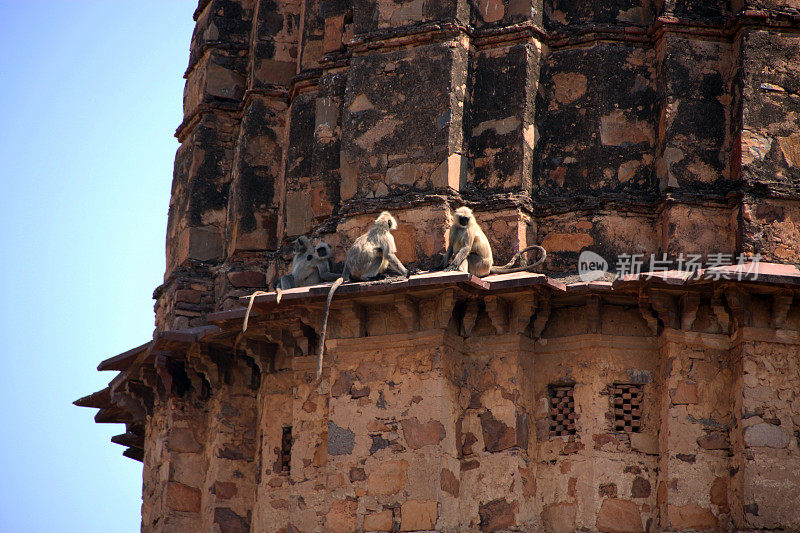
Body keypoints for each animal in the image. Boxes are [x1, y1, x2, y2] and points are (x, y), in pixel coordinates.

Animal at [318, 212, 410, 378]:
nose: (394, 224)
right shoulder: (386, 236)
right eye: (390, 222)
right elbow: (389, 255)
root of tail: (348, 268)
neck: (378, 228)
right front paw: (407, 273)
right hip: (363, 268)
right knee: (379, 254)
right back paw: (369, 278)